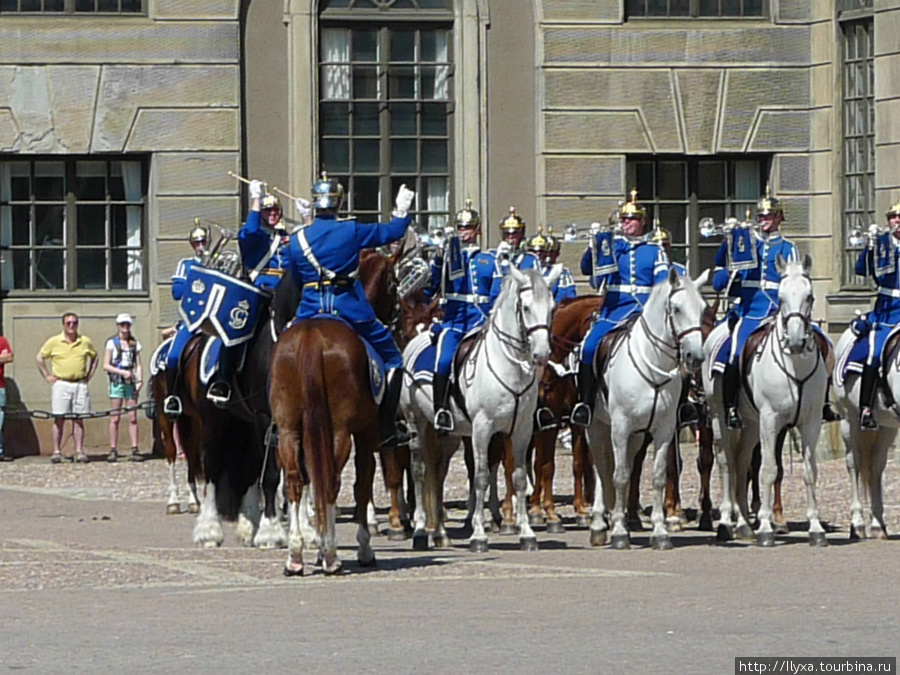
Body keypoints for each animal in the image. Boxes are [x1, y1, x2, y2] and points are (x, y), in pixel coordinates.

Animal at [402, 266, 564, 552]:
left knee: (438, 473)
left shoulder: (522, 430)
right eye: (525, 307)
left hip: (449, 434)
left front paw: (527, 533)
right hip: (417, 423)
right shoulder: (482, 429)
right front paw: (478, 534)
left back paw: (440, 533)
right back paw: (421, 531)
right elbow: (480, 476)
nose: (542, 354)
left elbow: (518, 477)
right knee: (420, 471)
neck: (508, 367)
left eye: (552, 307)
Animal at [588, 266, 712, 552]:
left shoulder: (663, 429)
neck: (653, 367)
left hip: (634, 436)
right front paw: (619, 532)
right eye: (676, 308)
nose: (695, 357)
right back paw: (600, 524)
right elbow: (620, 476)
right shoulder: (620, 427)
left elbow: (657, 475)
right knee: (600, 467)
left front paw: (660, 531)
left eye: (702, 308)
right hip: (596, 426)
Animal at [704, 256, 828, 548]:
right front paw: (765, 528)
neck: (795, 366)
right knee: (727, 462)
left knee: (741, 462)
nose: (796, 341)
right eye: (780, 298)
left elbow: (809, 471)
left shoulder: (811, 422)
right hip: (719, 417)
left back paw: (743, 524)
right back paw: (726, 523)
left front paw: (816, 528)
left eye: (809, 296)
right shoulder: (771, 420)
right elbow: (768, 470)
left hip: (750, 423)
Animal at [832, 326, 896, 540]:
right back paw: (857, 524)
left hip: (887, 428)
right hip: (849, 422)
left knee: (876, 467)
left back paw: (878, 524)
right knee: (855, 465)